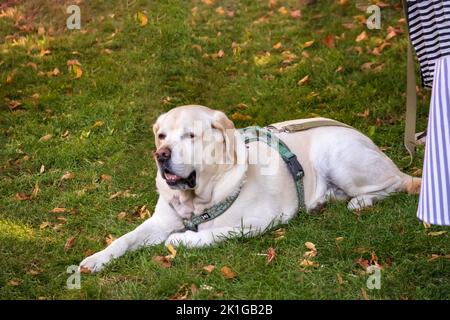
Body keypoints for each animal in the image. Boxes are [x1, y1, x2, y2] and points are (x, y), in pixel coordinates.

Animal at [79, 105, 420, 272]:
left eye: (190, 135)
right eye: (161, 135)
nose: (161, 155)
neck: (199, 198)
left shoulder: (257, 222)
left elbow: (211, 234)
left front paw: (182, 240)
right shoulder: (159, 222)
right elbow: (124, 239)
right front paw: (97, 259)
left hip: (340, 156)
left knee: (397, 183)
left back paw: (361, 201)